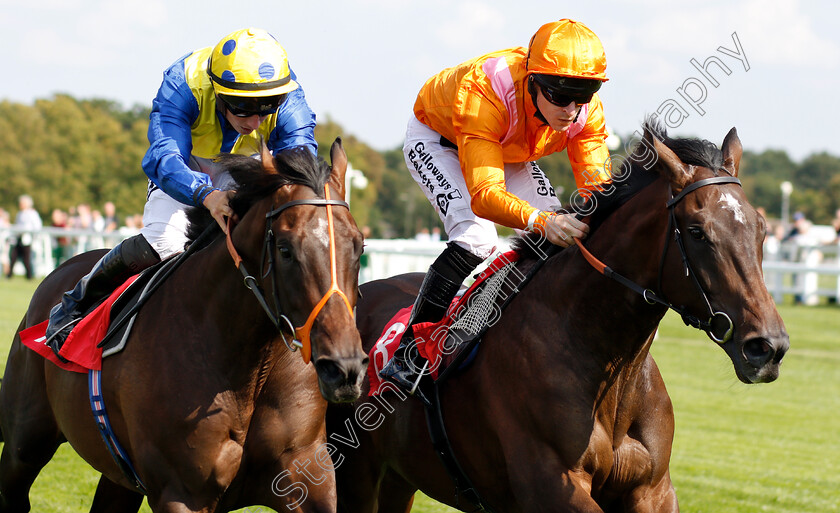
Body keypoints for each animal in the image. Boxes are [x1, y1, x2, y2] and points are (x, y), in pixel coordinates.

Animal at [0, 138, 368, 510]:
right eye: (285, 248)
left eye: (359, 245)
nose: (343, 367)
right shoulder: (181, 492)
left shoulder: (304, 468)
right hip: (25, 442)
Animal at [326, 124, 788, 512]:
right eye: (696, 231)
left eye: (762, 229)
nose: (768, 347)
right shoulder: (552, 485)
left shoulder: (654, 489)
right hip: (354, 476)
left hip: (399, 479)